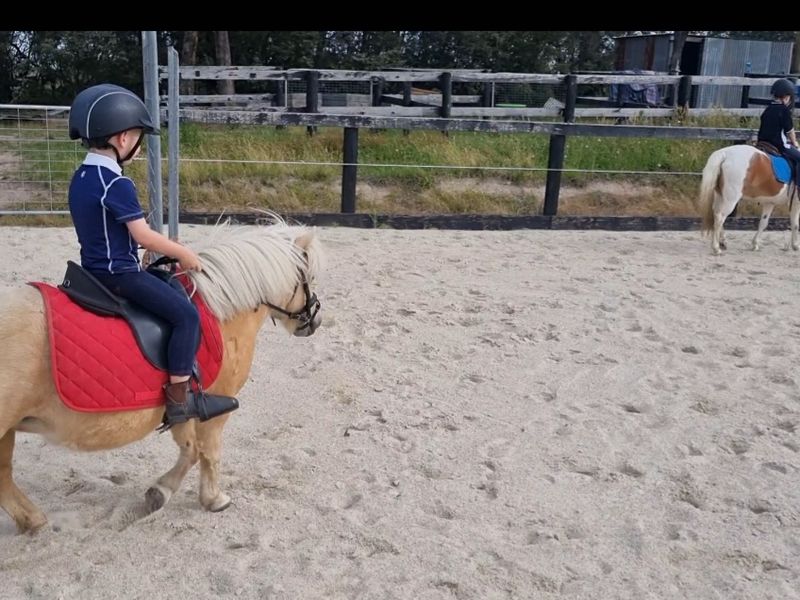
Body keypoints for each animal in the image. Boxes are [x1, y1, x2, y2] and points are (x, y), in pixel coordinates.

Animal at [0, 216, 324, 534]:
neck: (220, 310)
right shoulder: (218, 404)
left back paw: (33, 520)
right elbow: (210, 451)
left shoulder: (184, 405)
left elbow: (190, 449)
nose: (316, 320)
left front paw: (160, 492)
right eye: (308, 278)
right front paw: (214, 499)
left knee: (4, 476)